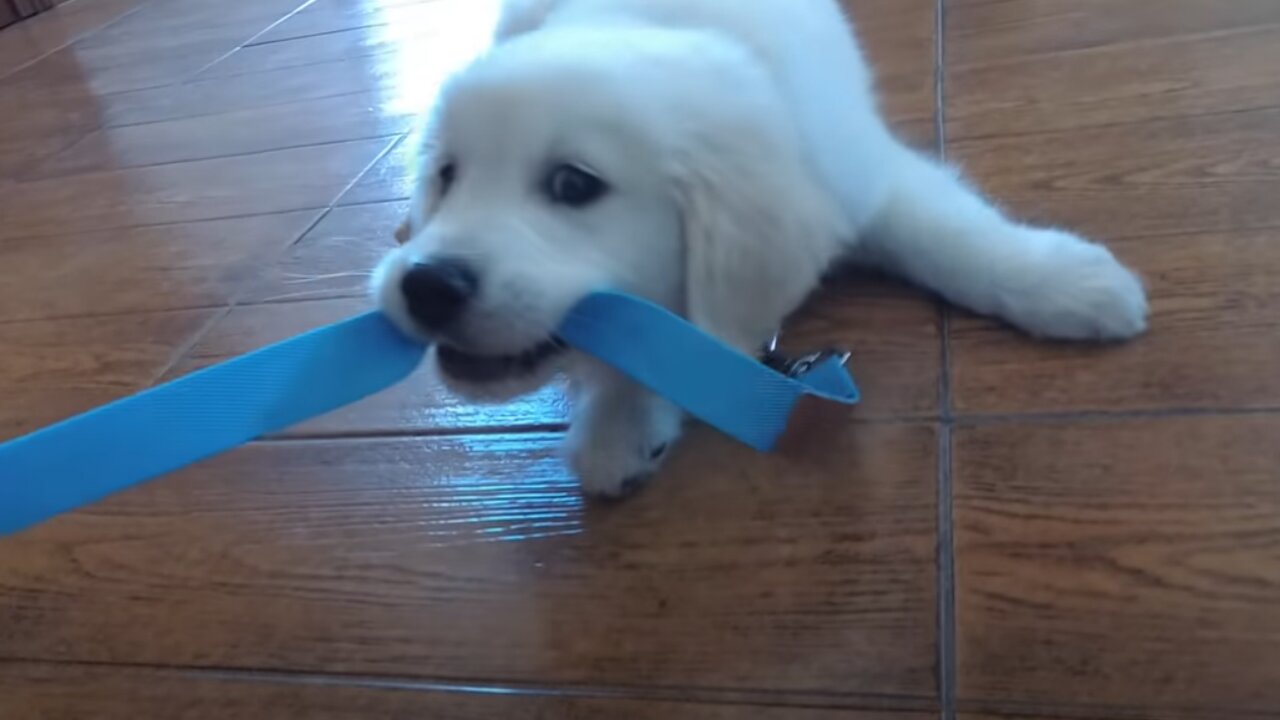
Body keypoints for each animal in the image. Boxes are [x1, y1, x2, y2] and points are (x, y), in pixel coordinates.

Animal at [373, 0, 1152, 491]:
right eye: (447, 176)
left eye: (573, 184)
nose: (425, 284)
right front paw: (620, 424)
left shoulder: (863, 175)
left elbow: (956, 238)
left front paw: (1070, 284)